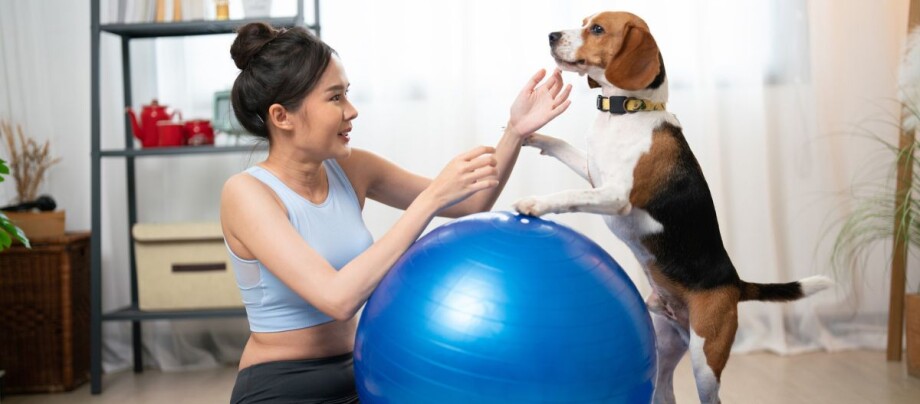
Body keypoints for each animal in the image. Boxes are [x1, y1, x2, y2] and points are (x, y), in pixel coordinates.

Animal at [512, 10, 836, 404]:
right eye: (584, 22)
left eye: (598, 29)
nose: (552, 35)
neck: (623, 113)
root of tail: (734, 282)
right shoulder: (594, 174)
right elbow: (560, 146)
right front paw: (530, 134)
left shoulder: (615, 196)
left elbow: (569, 196)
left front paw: (535, 203)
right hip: (665, 343)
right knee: (664, 388)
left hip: (706, 358)